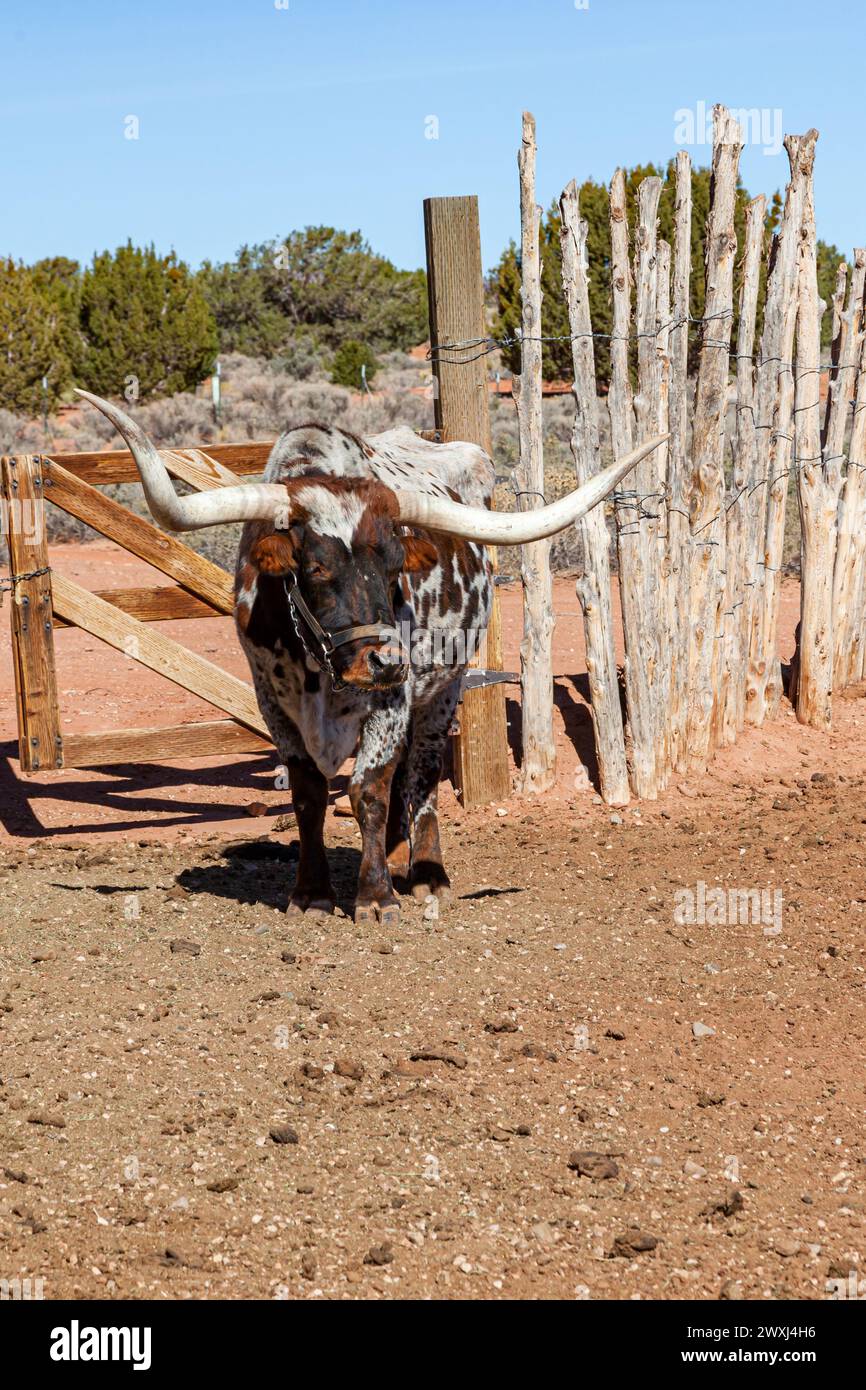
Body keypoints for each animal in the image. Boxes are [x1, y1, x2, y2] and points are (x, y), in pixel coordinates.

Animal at [76, 391, 664, 928]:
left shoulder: (393, 702)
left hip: (443, 688)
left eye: (394, 564)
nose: (385, 661)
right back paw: (399, 856)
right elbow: (310, 794)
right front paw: (312, 894)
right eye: (314, 568)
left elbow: (370, 789)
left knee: (421, 771)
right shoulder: (272, 702)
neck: (319, 671)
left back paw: (424, 872)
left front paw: (376, 896)